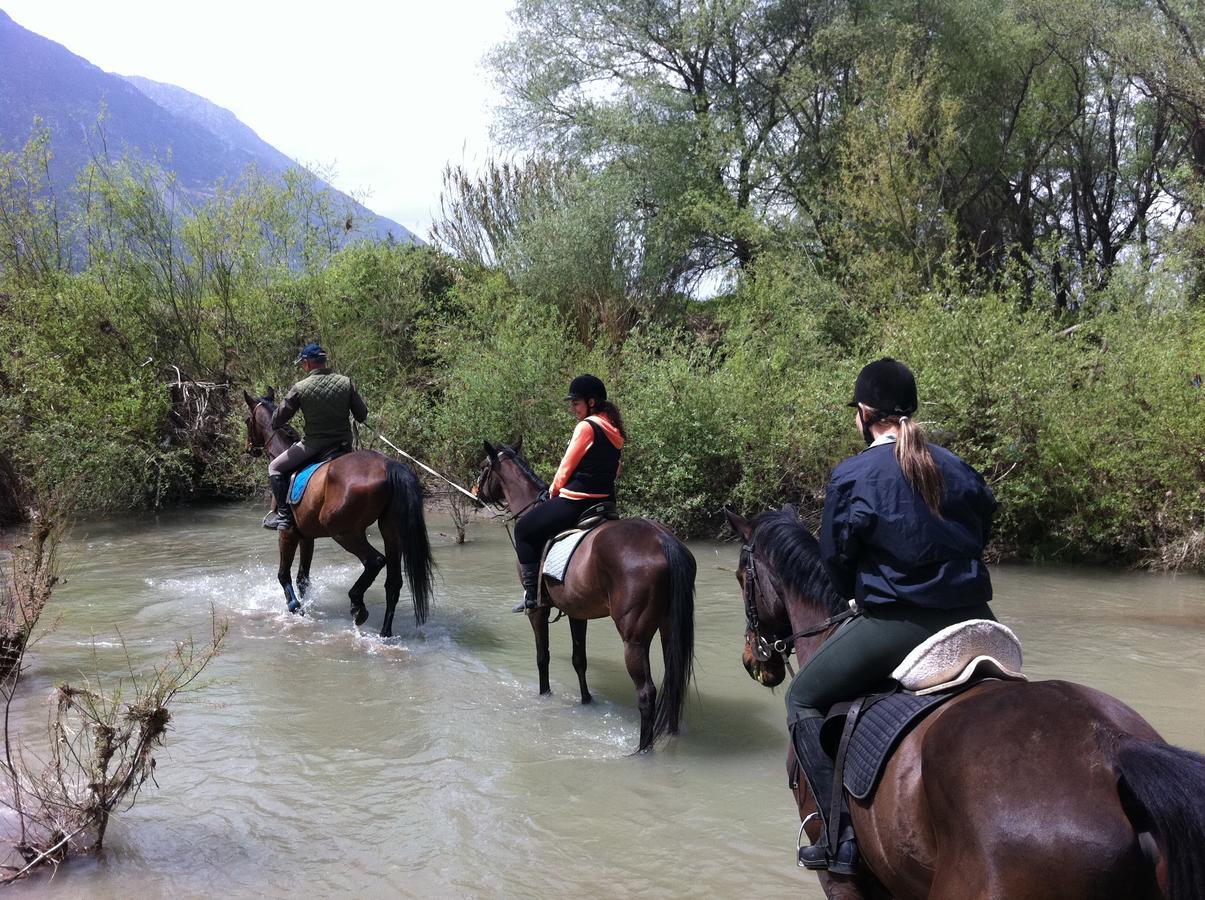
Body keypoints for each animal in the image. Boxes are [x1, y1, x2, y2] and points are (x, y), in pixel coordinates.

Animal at [242, 390, 436, 636]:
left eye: (247, 421)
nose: (248, 448)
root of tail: (389, 465)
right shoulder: (307, 537)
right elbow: (303, 577)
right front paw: (305, 606)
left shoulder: (287, 533)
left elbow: (283, 574)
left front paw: (295, 607)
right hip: (391, 532)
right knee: (393, 582)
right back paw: (384, 633)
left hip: (344, 532)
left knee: (374, 561)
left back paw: (357, 605)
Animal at [472, 440, 698, 751]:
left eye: (484, 467)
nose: (475, 494)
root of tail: (663, 540)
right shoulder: (577, 612)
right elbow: (580, 659)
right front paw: (586, 701)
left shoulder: (538, 610)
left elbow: (542, 656)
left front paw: (544, 696)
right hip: (668, 628)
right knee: (673, 680)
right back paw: (671, 734)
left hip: (634, 639)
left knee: (646, 692)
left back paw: (642, 750)